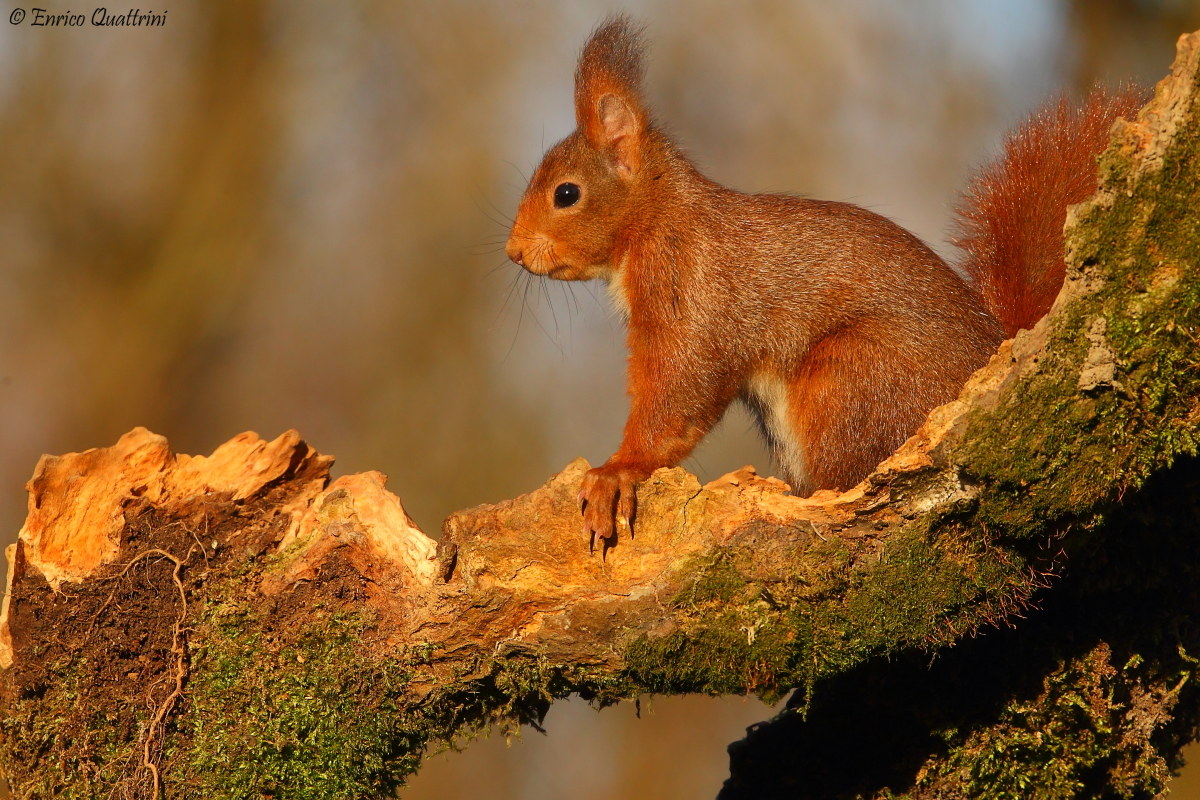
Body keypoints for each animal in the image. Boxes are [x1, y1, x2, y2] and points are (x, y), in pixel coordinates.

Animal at [504, 16, 1146, 549]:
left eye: (566, 194)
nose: (514, 252)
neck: (658, 219)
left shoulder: (689, 289)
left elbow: (678, 396)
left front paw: (617, 472)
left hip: (850, 379)